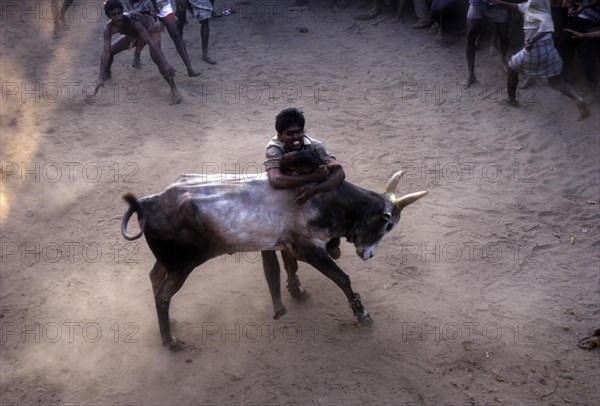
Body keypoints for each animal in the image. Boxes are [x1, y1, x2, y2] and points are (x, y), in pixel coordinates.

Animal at [120, 170, 426, 350]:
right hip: (181, 267)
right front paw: (363, 315)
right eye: (389, 225)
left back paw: (171, 326)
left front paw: (297, 291)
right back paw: (170, 341)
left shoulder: (287, 244)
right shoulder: (309, 249)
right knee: (163, 295)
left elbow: (289, 266)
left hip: (168, 264)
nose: (369, 254)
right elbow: (342, 278)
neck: (327, 200)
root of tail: (146, 202)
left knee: (154, 280)